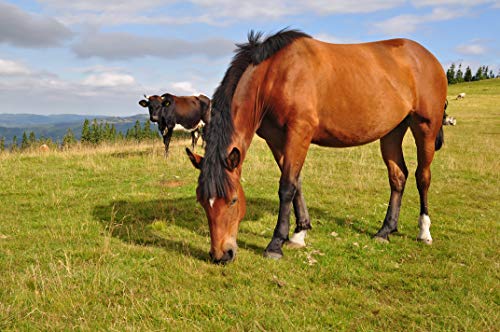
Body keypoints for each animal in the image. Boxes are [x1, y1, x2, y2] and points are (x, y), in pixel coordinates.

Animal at [186, 28, 448, 264]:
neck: (275, 75)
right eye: (202, 201)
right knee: (398, 177)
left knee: (422, 177)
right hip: (392, 131)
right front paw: (299, 233)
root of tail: (428, 57)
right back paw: (385, 231)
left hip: (425, 128)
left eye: (233, 200)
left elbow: (286, 187)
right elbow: (296, 183)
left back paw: (424, 232)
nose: (222, 255)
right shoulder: (276, 139)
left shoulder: (298, 132)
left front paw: (275, 244)